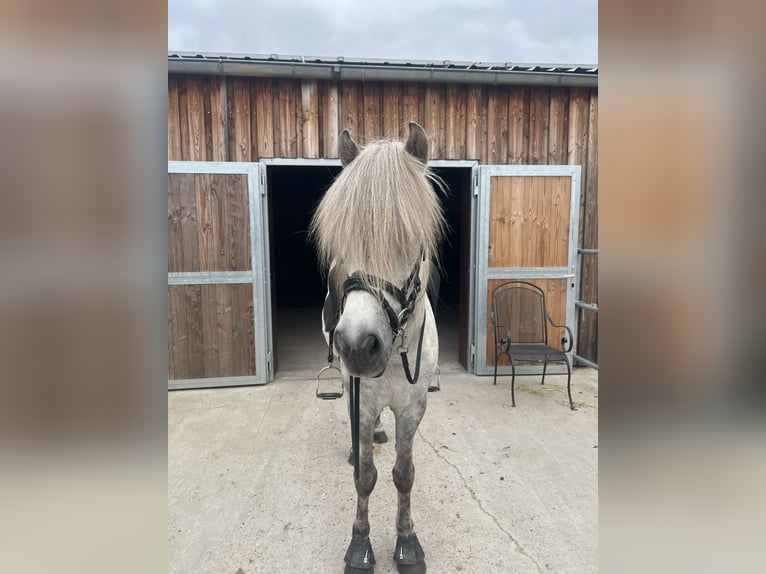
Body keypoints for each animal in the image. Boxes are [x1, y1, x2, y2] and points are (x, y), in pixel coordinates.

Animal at [310, 122, 445, 574]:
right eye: (342, 243)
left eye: (410, 240)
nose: (357, 345)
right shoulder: (363, 399)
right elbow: (365, 477)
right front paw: (360, 545)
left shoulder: (412, 406)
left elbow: (404, 474)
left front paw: (407, 543)